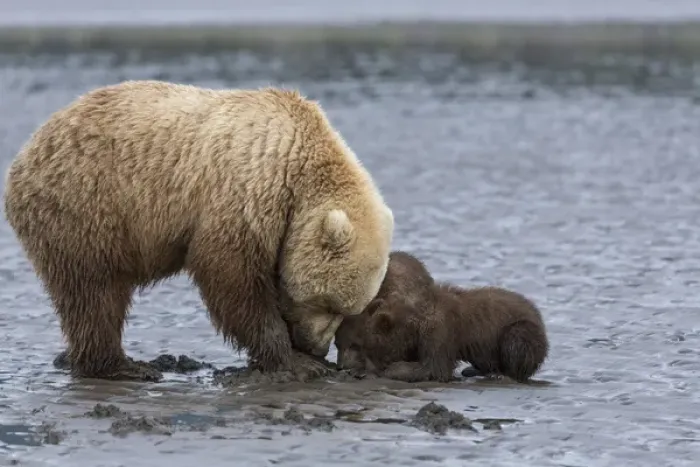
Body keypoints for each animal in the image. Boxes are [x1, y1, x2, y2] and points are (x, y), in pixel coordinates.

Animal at [3, 80, 394, 382]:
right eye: (328, 303)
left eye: (348, 310)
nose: (317, 347)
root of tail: (25, 154)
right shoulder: (245, 194)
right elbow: (229, 275)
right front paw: (295, 362)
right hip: (86, 206)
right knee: (94, 293)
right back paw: (122, 366)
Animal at [335, 251, 549, 383]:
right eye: (337, 343)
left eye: (357, 345)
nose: (341, 366)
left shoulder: (440, 332)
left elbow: (434, 367)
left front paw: (379, 371)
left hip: (520, 329)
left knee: (517, 341)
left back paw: (503, 375)